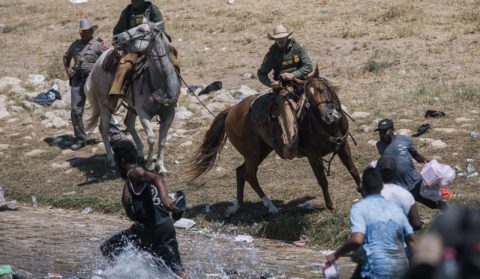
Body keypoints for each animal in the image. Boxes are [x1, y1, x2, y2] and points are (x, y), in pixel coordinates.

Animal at [85, 21, 180, 173]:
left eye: (141, 29)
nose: (116, 38)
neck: (161, 82)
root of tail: (97, 63)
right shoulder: (143, 112)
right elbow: (152, 138)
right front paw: (149, 164)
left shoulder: (170, 113)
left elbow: (162, 140)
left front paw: (161, 167)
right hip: (105, 105)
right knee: (104, 128)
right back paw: (111, 160)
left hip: (131, 105)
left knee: (128, 123)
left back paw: (140, 154)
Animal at [189, 68, 358, 217]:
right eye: (309, 98)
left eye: (323, 89)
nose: (328, 115)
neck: (328, 126)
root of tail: (230, 111)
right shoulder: (312, 154)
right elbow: (322, 179)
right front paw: (331, 206)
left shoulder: (343, 146)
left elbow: (353, 170)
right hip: (252, 154)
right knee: (250, 175)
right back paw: (270, 206)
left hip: (262, 150)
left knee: (240, 171)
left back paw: (237, 205)